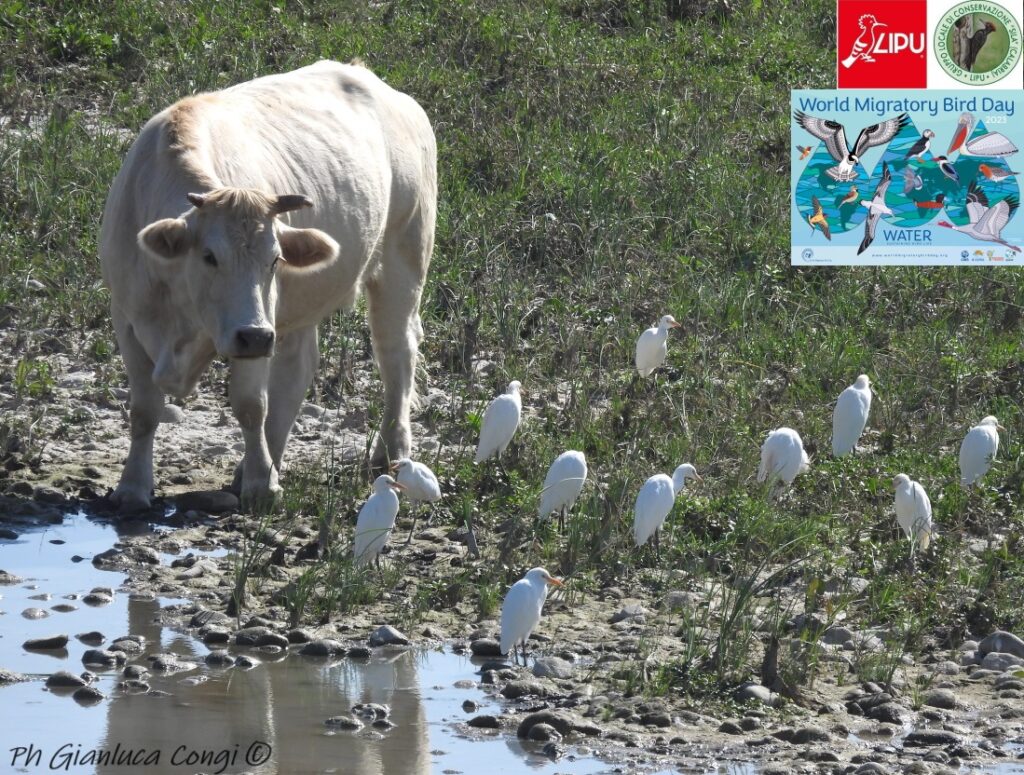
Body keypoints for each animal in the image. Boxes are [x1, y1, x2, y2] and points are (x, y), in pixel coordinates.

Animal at [101, 60, 438, 507]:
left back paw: (391, 450)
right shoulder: (127, 318)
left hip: (403, 257)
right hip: (298, 307)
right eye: (209, 256)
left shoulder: (258, 326)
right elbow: (144, 411)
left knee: (395, 351)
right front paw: (133, 487)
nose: (256, 336)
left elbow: (249, 406)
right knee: (296, 371)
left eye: (275, 259)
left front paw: (262, 484)